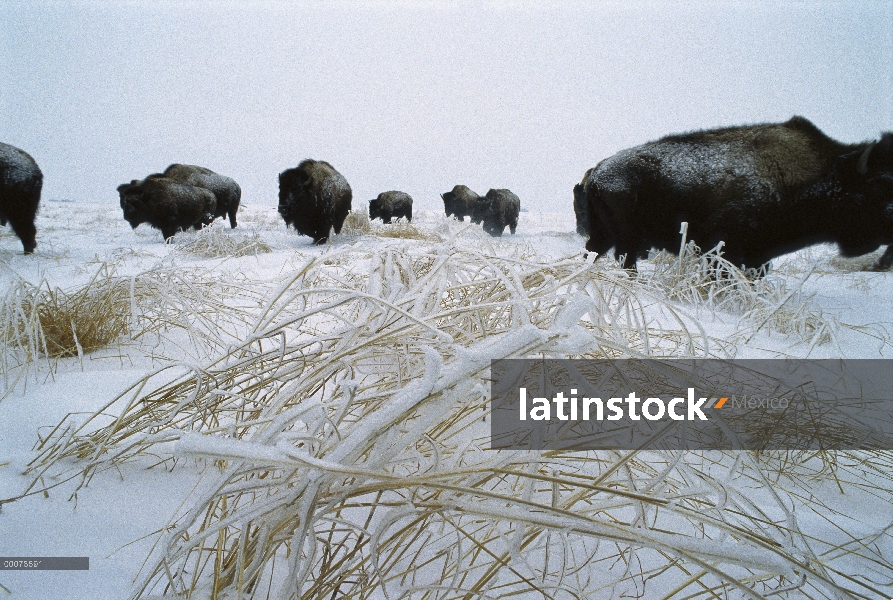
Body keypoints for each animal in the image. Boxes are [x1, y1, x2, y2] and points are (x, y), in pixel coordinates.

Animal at [580, 115, 892, 270]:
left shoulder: (758, 255)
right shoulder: (725, 248)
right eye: (877, 190)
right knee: (625, 259)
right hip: (627, 238)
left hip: (606, 235)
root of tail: (598, 170)